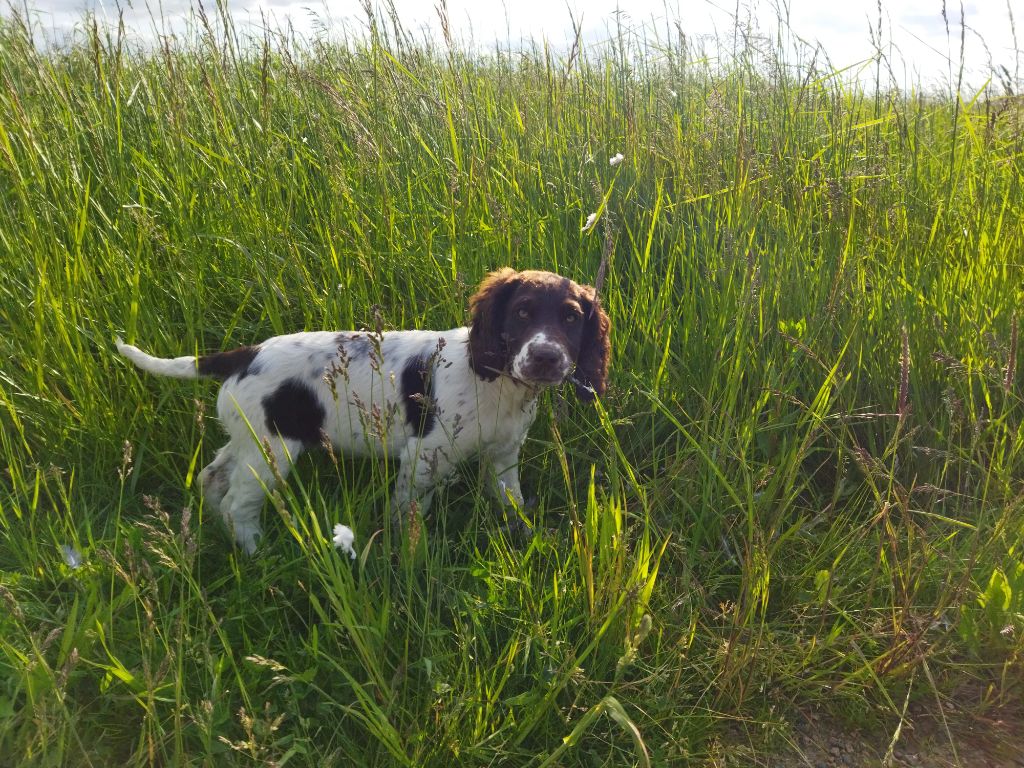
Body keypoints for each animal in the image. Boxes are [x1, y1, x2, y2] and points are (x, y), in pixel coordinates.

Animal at [119, 270, 614, 552]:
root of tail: (245, 355)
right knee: (237, 503)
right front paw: (410, 554)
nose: (546, 357)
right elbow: (408, 512)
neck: (499, 382)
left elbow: (511, 502)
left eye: (571, 318)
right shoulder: (424, 457)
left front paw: (527, 538)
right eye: (523, 312)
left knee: (213, 477)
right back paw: (256, 551)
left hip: (248, 437)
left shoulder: (503, 455)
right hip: (272, 451)